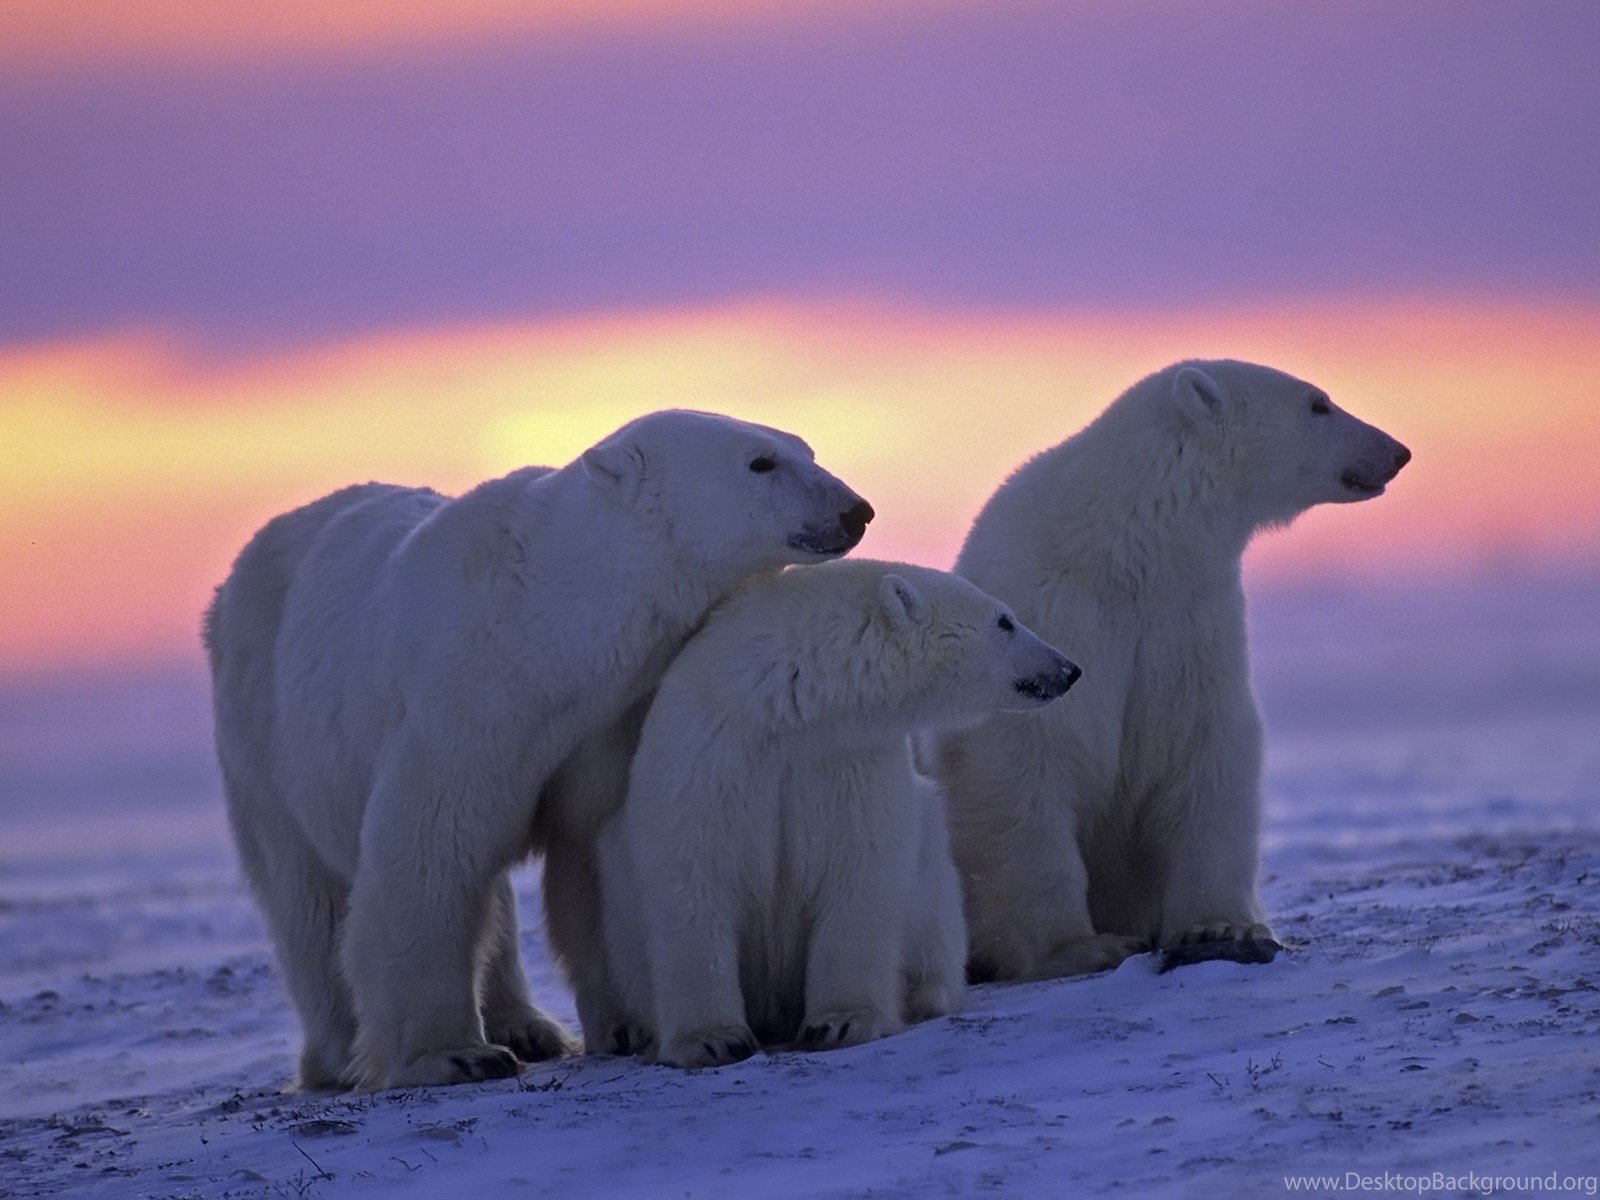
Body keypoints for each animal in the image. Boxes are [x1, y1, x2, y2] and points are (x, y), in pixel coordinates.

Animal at [206, 412, 876, 1088]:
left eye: (805, 448)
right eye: (760, 462)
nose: (857, 511)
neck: (552, 629)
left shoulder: (606, 720)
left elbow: (592, 849)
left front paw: (628, 1026)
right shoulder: (466, 697)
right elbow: (429, 848)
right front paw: (454, 1054)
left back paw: (526, 1026)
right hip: (262, 734)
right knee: (307, 896)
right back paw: (341, 1056)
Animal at [601, 560, 1088, 1068]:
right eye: (1004, 621)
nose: (1068, 669)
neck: (788, 707)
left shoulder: (849, 759)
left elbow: (858, 870)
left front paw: (841, 1022)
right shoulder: (709, 752)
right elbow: (692, 876)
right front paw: (713, 1039)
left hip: (932, 875)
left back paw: (922, 994)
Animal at [934, 364, 1408, 985]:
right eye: (1318, 404)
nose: (1397, 451)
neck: (1124, 549)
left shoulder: (1187, 623)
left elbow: (1204, 745)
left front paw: (1219, 927)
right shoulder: (1053, 618)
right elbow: (1025, 766)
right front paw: (1081, 946)